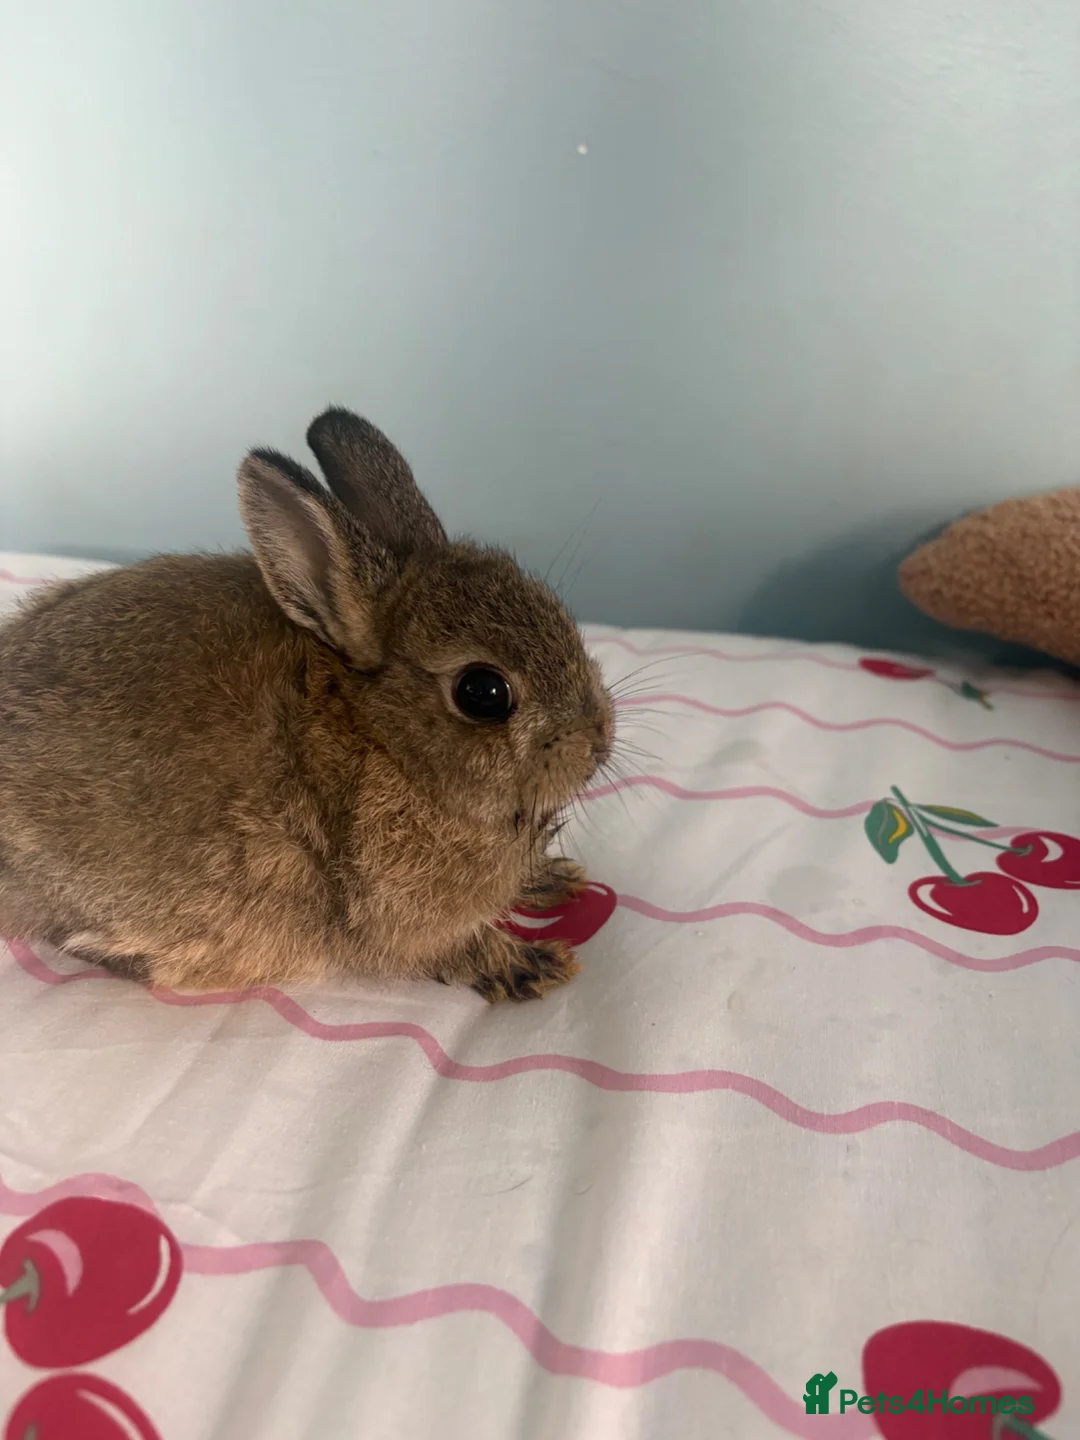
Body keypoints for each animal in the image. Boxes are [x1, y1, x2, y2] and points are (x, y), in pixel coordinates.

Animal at [0, 407, 615, 1000]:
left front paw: (552, 877)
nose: (600, 740)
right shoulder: (400, 916)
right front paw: (528, 965)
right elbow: (455, 948)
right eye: (483, 693)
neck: (384, 737)